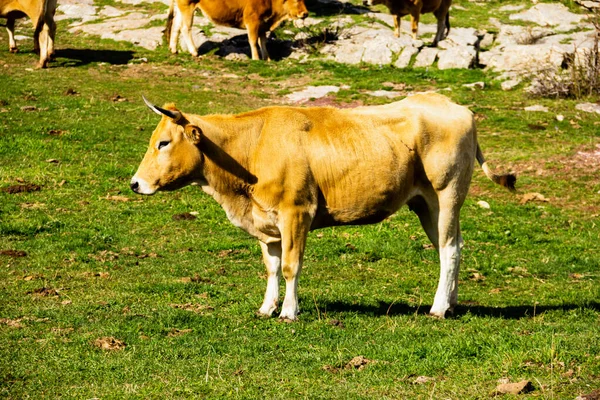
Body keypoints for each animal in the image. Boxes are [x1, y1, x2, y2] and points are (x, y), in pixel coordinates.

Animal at [131, 92, 516, 320]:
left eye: (163, 143)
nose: (135, 183)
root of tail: (453, 105)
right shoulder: (266, 224)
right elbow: (271, 268)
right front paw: (266, 307)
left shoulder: (296, 212)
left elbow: (290, 267)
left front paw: (289, 312)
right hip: (425, 204)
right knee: (451, 246)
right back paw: (450, 302)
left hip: (446, 193)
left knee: (449, 248)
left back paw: (438, 308)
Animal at [165, 0, 310, 60]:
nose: (305, 13)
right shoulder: (252, 20)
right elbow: (253, 41)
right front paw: (256, 58)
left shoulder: (263, 23)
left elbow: (263, 42)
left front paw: (267, 58)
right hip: (188, 7)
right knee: (185, 27)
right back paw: (194, 52)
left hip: (181, 8)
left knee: (176, 25)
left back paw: (173, 49)